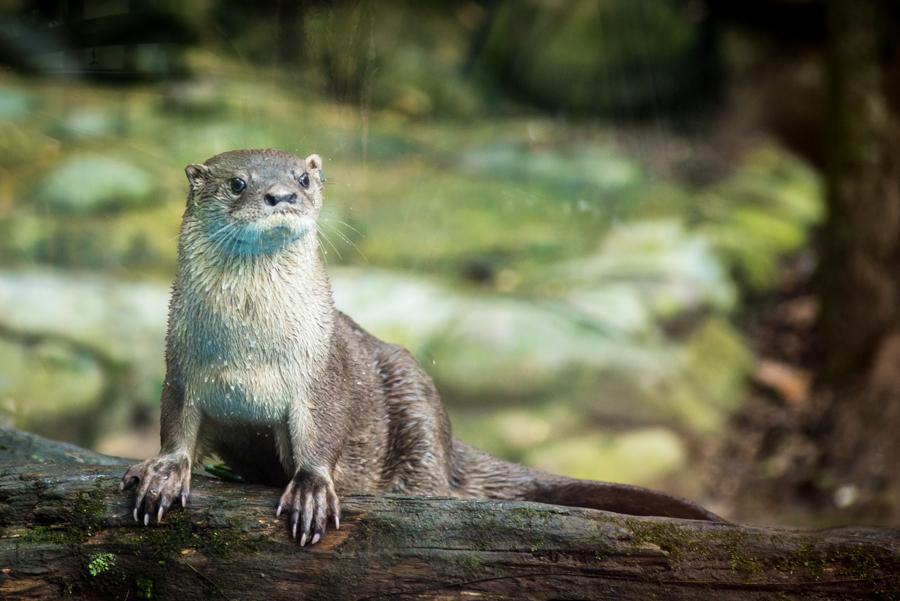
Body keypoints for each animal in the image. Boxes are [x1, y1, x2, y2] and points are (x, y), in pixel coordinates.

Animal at [121, 149, 724, 544]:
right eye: (238, 184)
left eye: (304, 178)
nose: (283, 195)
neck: (248, 353)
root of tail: (450, 441)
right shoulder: (181, 369)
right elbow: (176, 427)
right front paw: (162, 472)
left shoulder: (322, 375)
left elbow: (323, 435)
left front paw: (312, 489)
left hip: (414, 401)